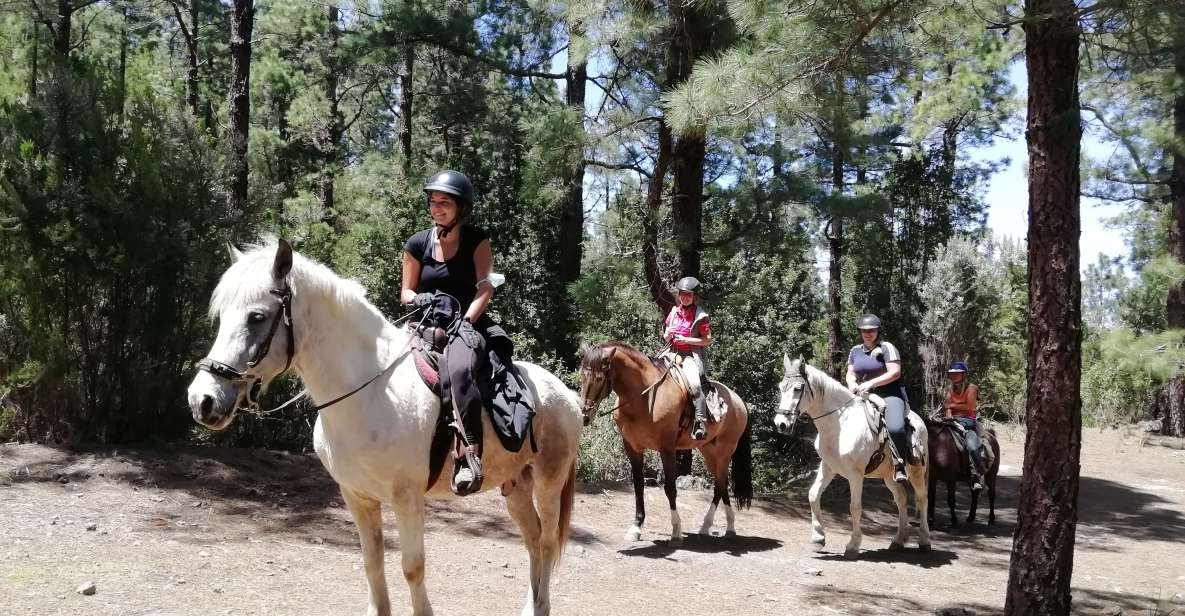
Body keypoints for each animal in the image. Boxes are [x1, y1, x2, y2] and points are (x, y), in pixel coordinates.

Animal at [183, 238, 583, 611]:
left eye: (256, 317)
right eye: (221, 315)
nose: (202, 400)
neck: (369, 392)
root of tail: (567, 395)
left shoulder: (407, 499)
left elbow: (412, 568)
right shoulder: (356, 496)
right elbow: (372, 563)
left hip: (548, 481)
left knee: (547, 540)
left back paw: (540, 606)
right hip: (515, 486)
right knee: (533, 539)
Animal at [575, 338, 748, 547]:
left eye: (600, 378)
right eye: (582, 375)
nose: (585, 416)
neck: (643, 397)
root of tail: (738, 400)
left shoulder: (667, 448)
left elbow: (670, 488)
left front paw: (676, 532)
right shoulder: (632, 447)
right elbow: (638, 486)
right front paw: (636, 528)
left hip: (724, 451)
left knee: (721, 484)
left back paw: (726, 528)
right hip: (708, 452)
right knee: (720, 484)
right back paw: (709, 527)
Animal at [772, 350, 929, 559]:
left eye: (798, 388)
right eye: (781, 387)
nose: (781, 424)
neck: (840, 424)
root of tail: (919, 420)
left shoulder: (855, 475)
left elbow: (854, 508)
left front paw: (853, 545)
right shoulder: (828, 467)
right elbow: (813, 495)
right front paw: (818, 538)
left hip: (917, 471)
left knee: (922, 498)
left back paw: (925, 541)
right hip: (889, 476)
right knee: (901, 499)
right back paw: (898, 540)